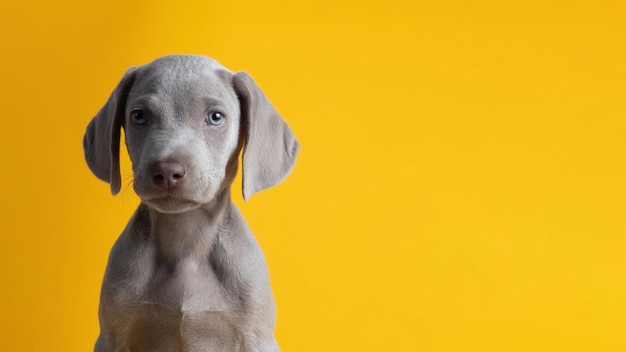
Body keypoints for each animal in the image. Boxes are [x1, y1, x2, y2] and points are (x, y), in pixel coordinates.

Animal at [84, 55, 298, 352]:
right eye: (139, 115)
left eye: (215, 117)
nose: (167, 171)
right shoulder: (112, 337)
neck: (185, 238)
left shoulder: (256, 337)